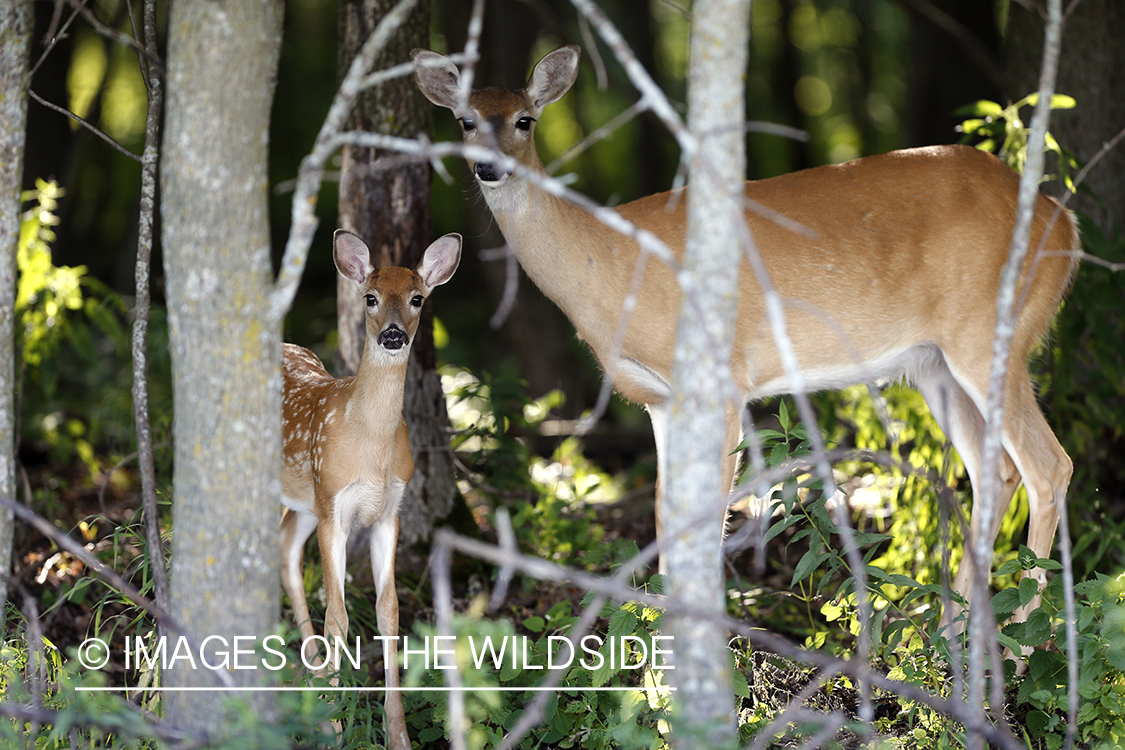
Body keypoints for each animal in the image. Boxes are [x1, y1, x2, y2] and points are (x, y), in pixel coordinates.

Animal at [281, 229, 461, 750]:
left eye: (418, 298)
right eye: (371, 298)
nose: (394, 334)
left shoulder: (387, 513)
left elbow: (389, 612)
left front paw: (396, 732)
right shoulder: (334, 508)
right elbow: (338, 615)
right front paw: (335, 726)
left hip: (304, 503)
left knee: (285, 549)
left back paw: (312, 674)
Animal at [413, 44, 1079, 627]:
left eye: (524, 120)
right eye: (466, 120)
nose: (488, 167)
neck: (611, 265)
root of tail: (1064, 221)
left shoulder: (724, 377)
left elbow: (709, 516)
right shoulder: (659, 398)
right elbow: (665, 516)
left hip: (990, 332)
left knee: (1049, 465)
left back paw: (1023, 641)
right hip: (934, 363)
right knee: (996, 471)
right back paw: (949, 629)